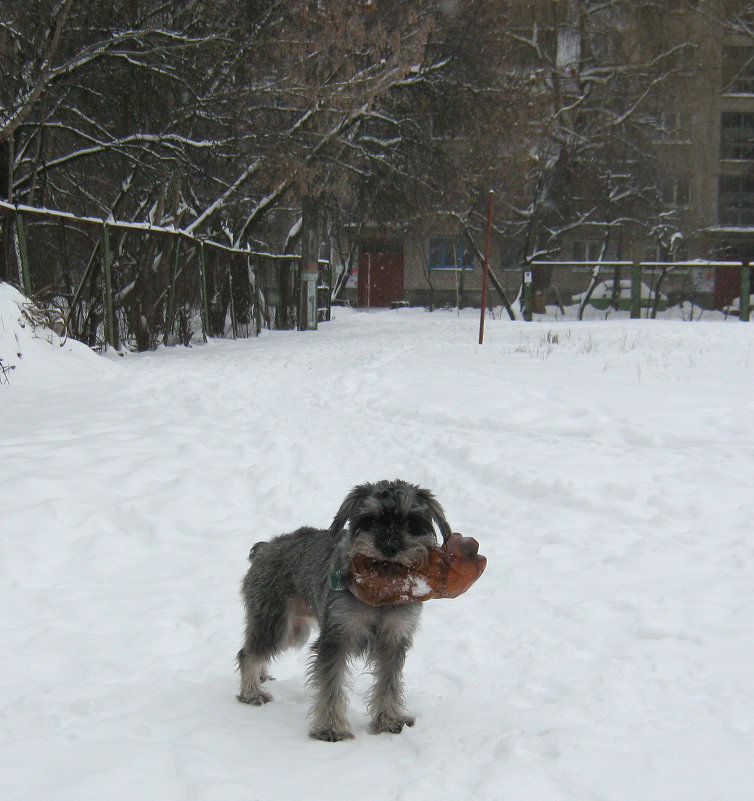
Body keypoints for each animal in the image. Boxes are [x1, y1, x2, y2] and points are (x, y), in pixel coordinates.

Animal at [236, 478, 446, 740]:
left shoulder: (394, 639)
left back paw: (261, 677)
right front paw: (330, 728)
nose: (389, 546)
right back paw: (252, 692)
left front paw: (389, 720)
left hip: (294, 630)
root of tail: (264, 548)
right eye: (371, 519)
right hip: (276, 624)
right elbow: (331, 685)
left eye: (410, 521)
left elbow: (389, 683)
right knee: (248, 653)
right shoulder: (337, 637)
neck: (381, 589)